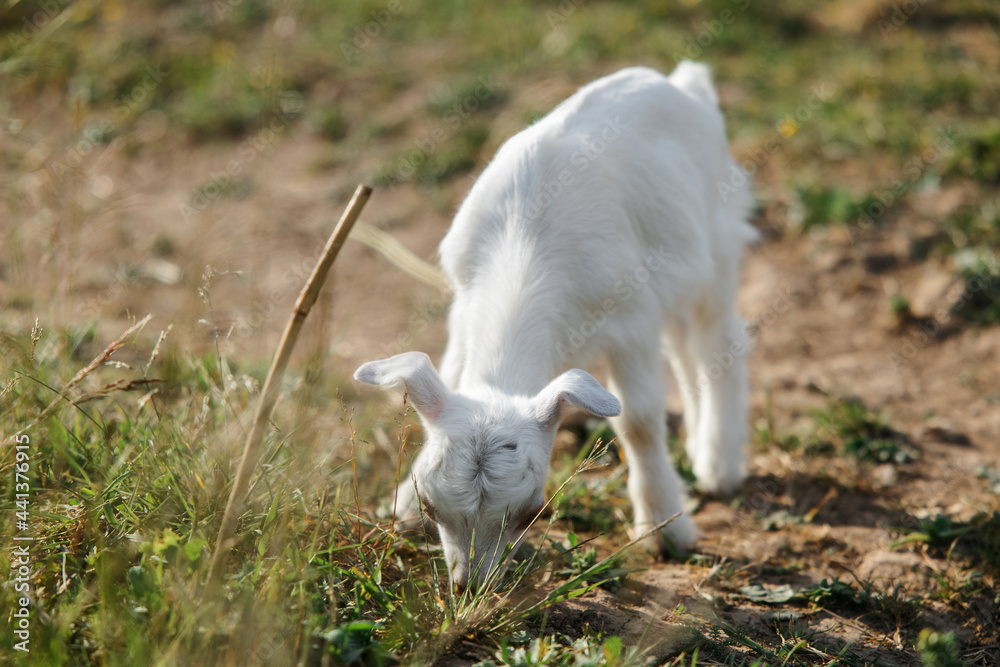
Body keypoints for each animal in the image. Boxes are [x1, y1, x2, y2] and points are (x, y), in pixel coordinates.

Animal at [354, 62, 757, 590]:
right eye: (431, 505)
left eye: (531, 512)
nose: (471, 585)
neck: (524, 242)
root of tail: (681, 83)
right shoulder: (462, 301)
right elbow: (449, 366)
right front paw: (399, 503)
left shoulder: (632, 321)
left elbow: (639, 420)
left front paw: (665, 528)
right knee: (687, 354)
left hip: (720, 244)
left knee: (720, 343)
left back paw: (718, 467)